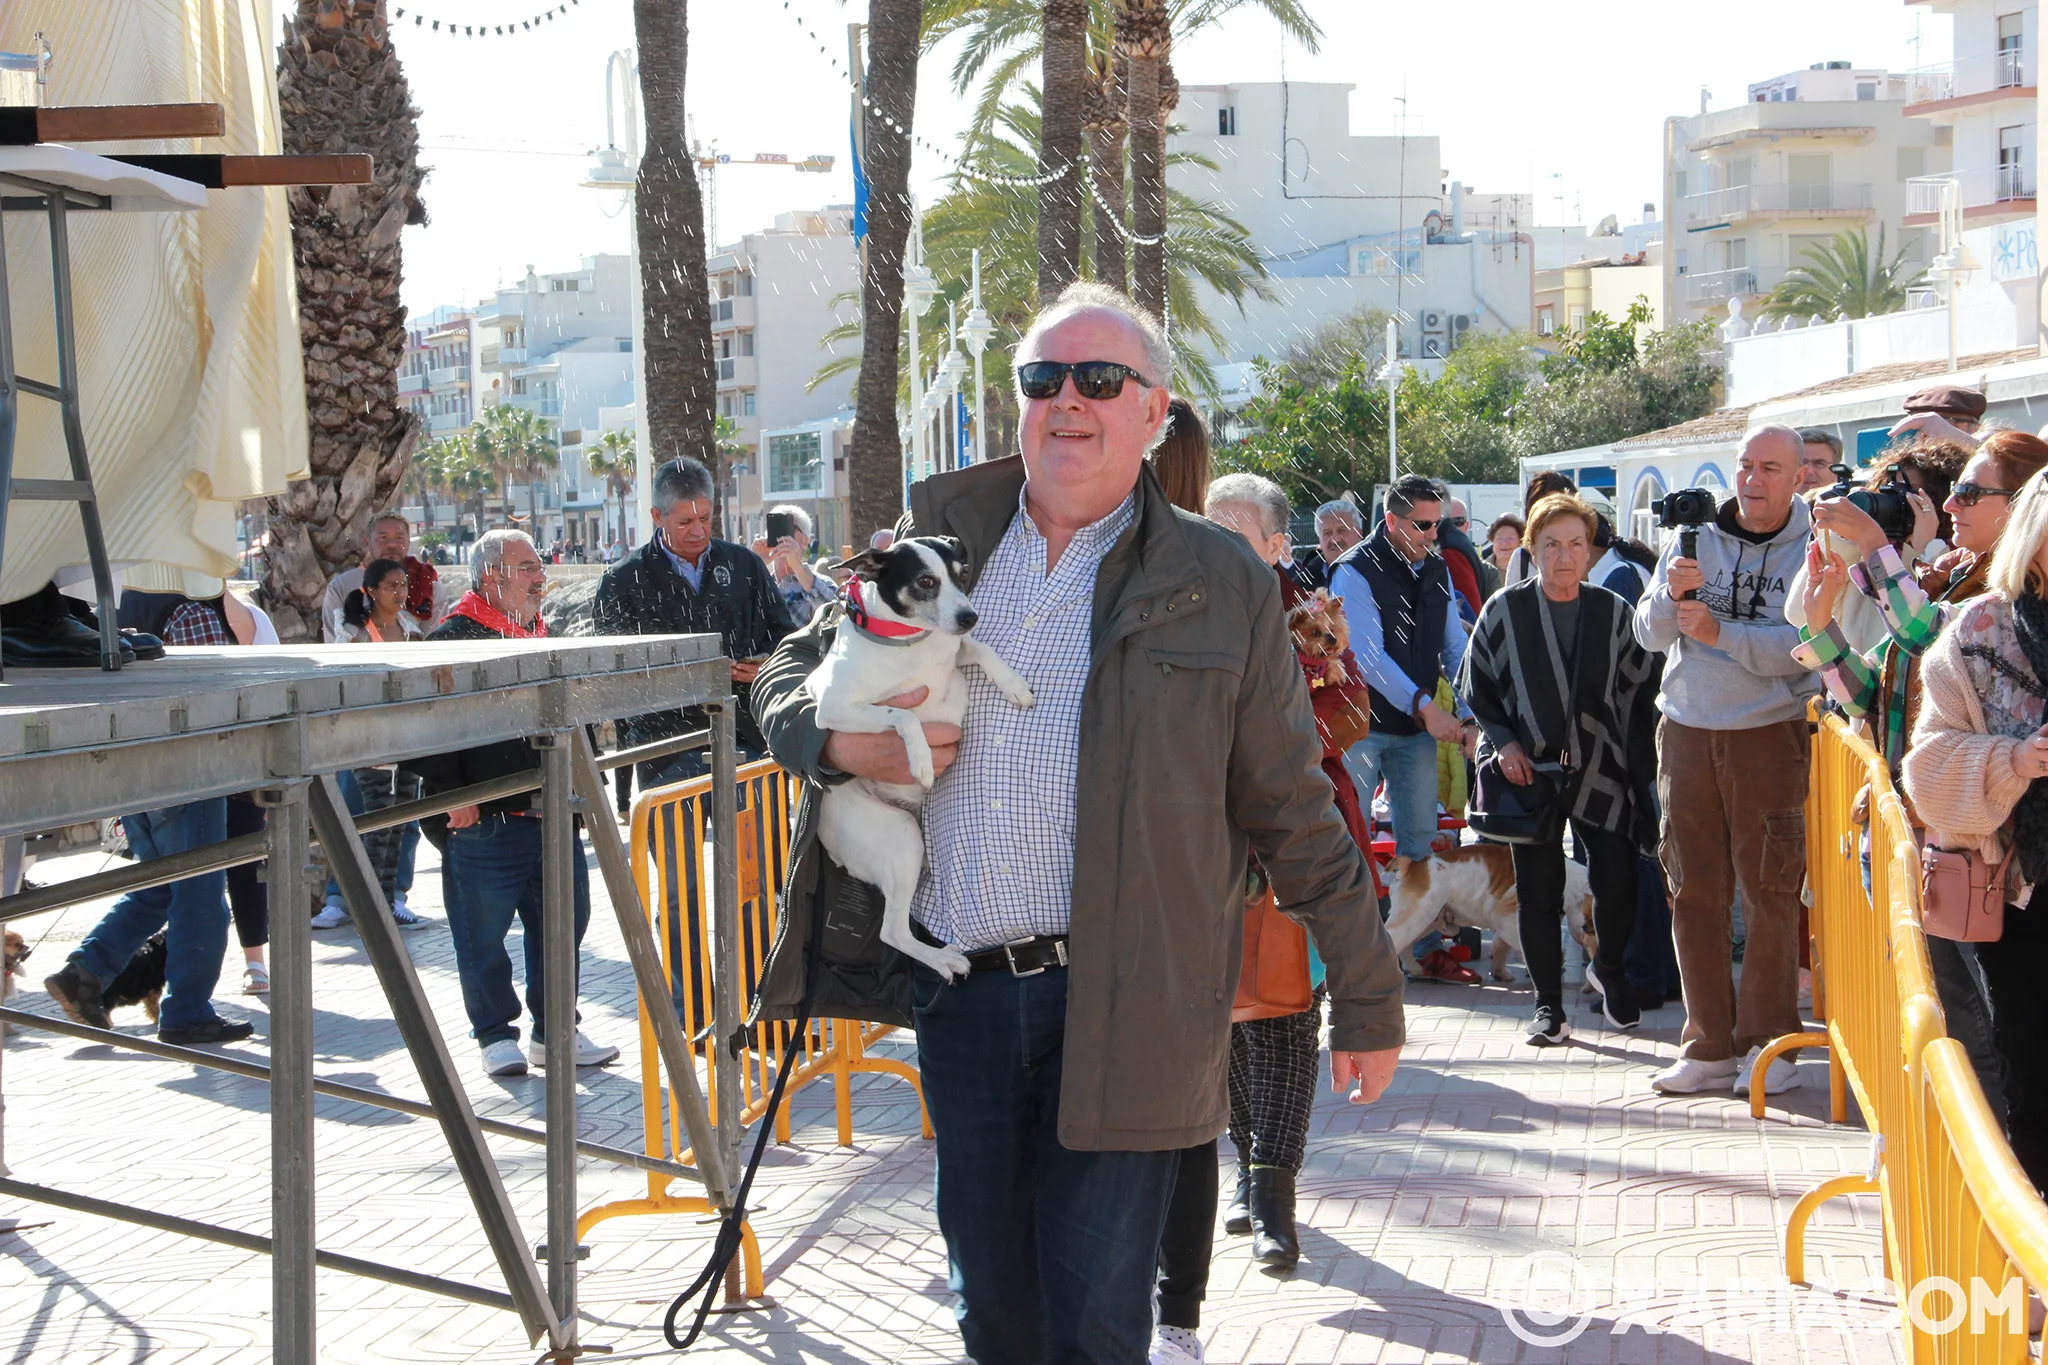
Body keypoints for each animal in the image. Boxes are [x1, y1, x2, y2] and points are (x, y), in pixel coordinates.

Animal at [802, 536, 1032, 982]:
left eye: (962, 573)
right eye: (926, 581)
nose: (969, 616)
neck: (911, 643)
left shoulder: (955, 648)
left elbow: (982, 647)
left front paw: (1013, 683)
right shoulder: (832, 709)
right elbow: (904, 714)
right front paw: (923, 760)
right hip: (902, 837)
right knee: (893, 932)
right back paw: (943, 959)